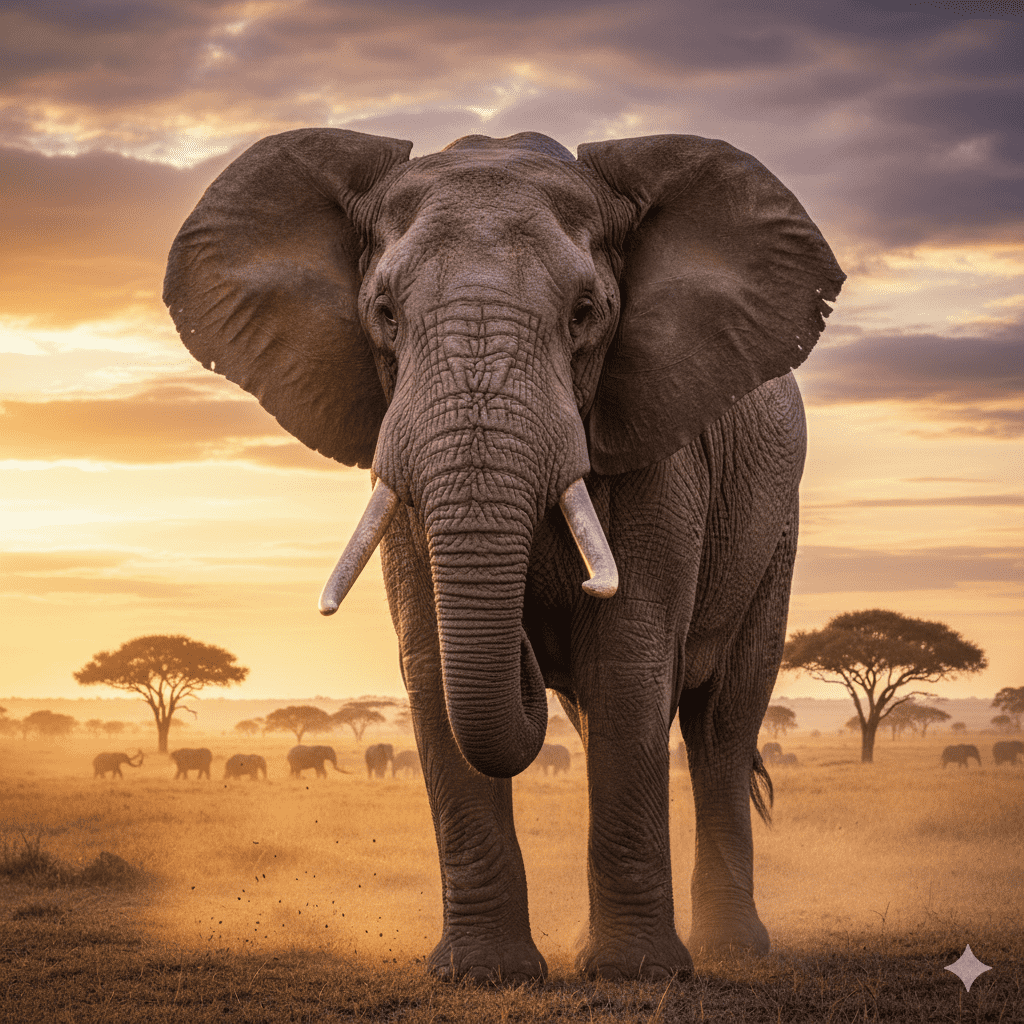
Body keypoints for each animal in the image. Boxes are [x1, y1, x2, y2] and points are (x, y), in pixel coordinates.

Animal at [165, 127, 844, 983]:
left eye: (586, 314)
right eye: (384, 313)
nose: (526, 638)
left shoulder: (662, 444)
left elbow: (628, 659)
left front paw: (634, 976)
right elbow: (430, 664)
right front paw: (482, 976)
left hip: (775, 529)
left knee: (722, 725)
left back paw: (731, 952)